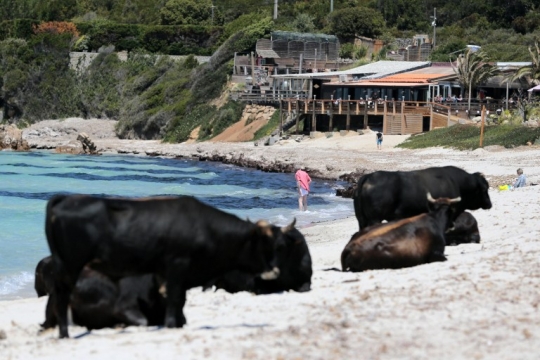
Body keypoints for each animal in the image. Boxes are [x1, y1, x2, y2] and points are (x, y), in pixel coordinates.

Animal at [352, 167, 492, 231]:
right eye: (485, 188)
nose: (489, 204)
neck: (456, 183)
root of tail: (369, 176)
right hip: (374, 219)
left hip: (361, 220)